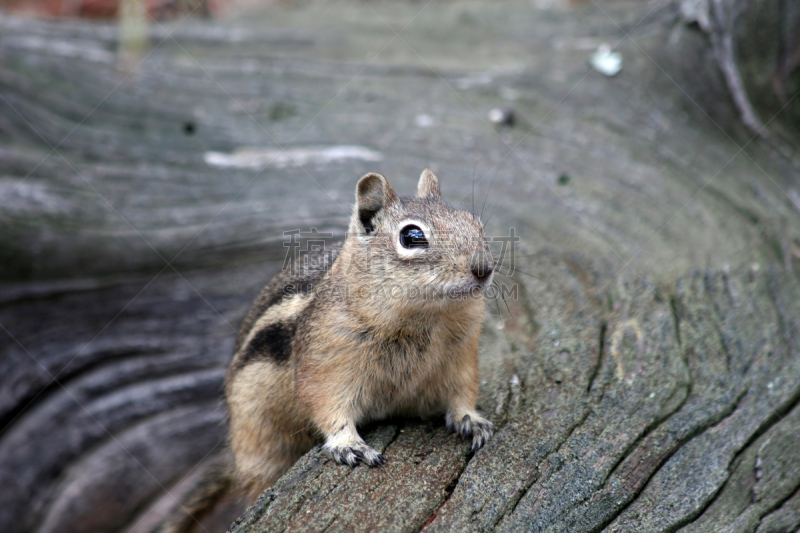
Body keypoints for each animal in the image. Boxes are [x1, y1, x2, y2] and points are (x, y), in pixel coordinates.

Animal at [163, 170, 494, 532]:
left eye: (475, 222)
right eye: (412, 236)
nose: (484, 268)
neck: (427, 317)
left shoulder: (461, 355)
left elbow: (462, 391)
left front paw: (471, 420)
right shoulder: (326, 361)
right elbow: (326, 403)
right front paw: (348, 444)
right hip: (260, 443)